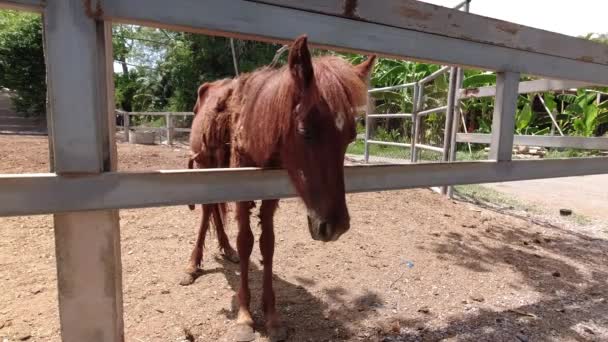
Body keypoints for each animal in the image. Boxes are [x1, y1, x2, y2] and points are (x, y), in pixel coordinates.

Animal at [183, 34, 372, 340]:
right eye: (305, 130)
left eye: (351, 137)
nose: (335, 226)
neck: (253, 128)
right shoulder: (242, 192)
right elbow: (246, 241)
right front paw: (245, 316)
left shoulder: (269, 196)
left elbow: (267, 244)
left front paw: (271, 316)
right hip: (204, 167)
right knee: (207, 211)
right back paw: (192, 265)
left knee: (215, 213)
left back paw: (225, 250)